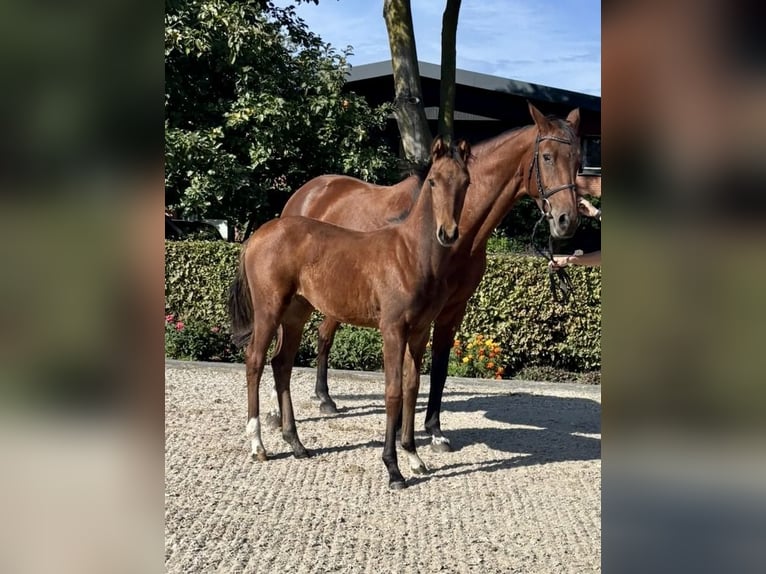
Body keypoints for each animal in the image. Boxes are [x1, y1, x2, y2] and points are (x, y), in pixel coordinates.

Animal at [228, 136, 472, 489]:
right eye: (433, 182)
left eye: (466, 182)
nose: (448, 233)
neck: (411, 254)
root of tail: (257, 236)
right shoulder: (392, 329)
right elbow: (393, 393)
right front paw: (393, 469)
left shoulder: (419, 331)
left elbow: (412, 388)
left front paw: (414, 457)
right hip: (269, 309)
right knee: (255, 361)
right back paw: (258, 445)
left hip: (296, 312)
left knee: (281, 364)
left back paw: (296, 443)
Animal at [280, 102, 582, 452]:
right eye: (547, 156)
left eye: (578, 159)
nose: (567, 220)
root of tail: (309, 192)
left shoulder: (453, 308)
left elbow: (437, 366)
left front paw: (433, 430)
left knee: (323, 334)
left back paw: (324, 397)